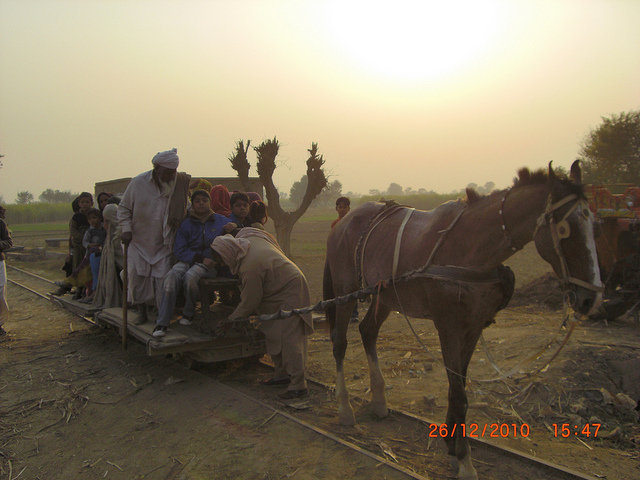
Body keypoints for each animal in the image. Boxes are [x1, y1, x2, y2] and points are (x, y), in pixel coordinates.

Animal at [322, 162, 604, 480]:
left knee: (367, 330)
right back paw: (345, 408)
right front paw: (465, 461)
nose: (592, 299)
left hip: (385, 295)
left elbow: (459, 388)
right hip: (345, 291)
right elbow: (459, 394)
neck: (470, 249)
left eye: (596, 228)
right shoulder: (449, 328)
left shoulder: (473, 327)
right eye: (565, 230)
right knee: (340, 342)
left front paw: (452, 447)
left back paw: (380, 402)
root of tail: (344, 221)